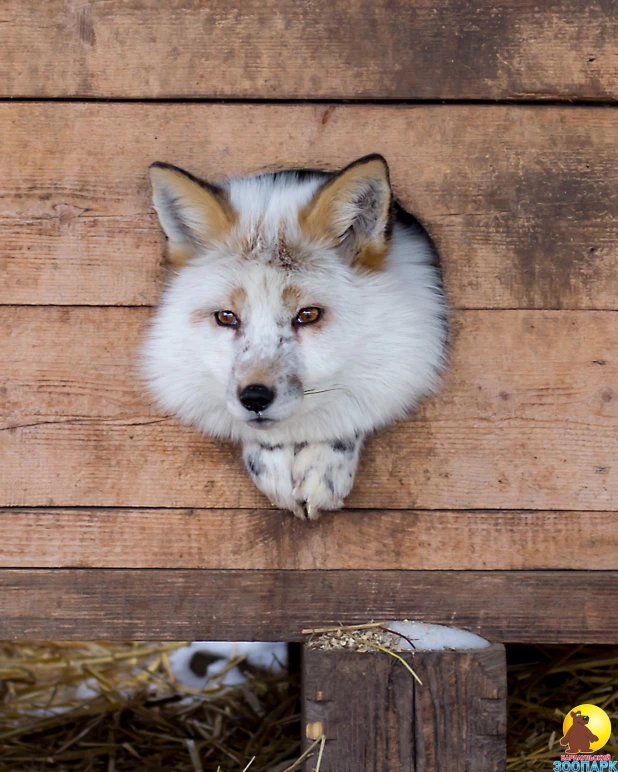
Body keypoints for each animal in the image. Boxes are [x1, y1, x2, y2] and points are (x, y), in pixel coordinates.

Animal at [142, 155, 446, 520]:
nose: (254, 398)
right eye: (227, 317)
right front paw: (271, 457)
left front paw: (325, 462)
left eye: (308, 315)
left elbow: (352, 408)